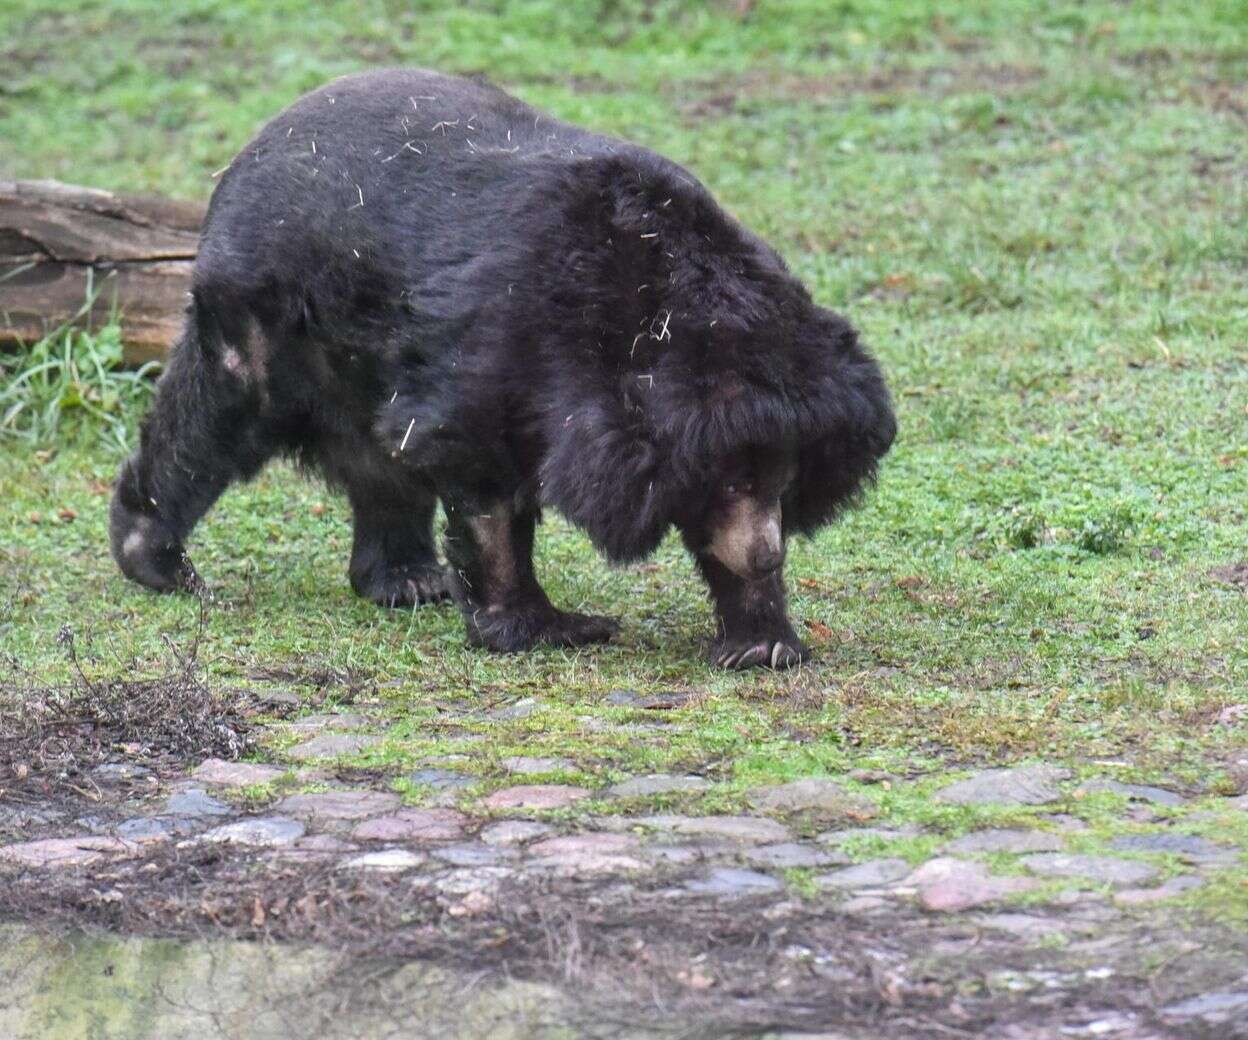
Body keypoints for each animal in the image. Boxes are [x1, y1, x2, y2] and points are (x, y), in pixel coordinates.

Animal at [107, 68, 893, 669]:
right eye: (734, 480)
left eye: (785, 481)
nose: (767, 555)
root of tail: (251, 149)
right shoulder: (502, 347)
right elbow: (481, 481)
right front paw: (547, 626)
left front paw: (761, 640)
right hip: (269, 312)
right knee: (216, 414)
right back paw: (156, 556)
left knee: (379, 464)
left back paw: (406, 579)